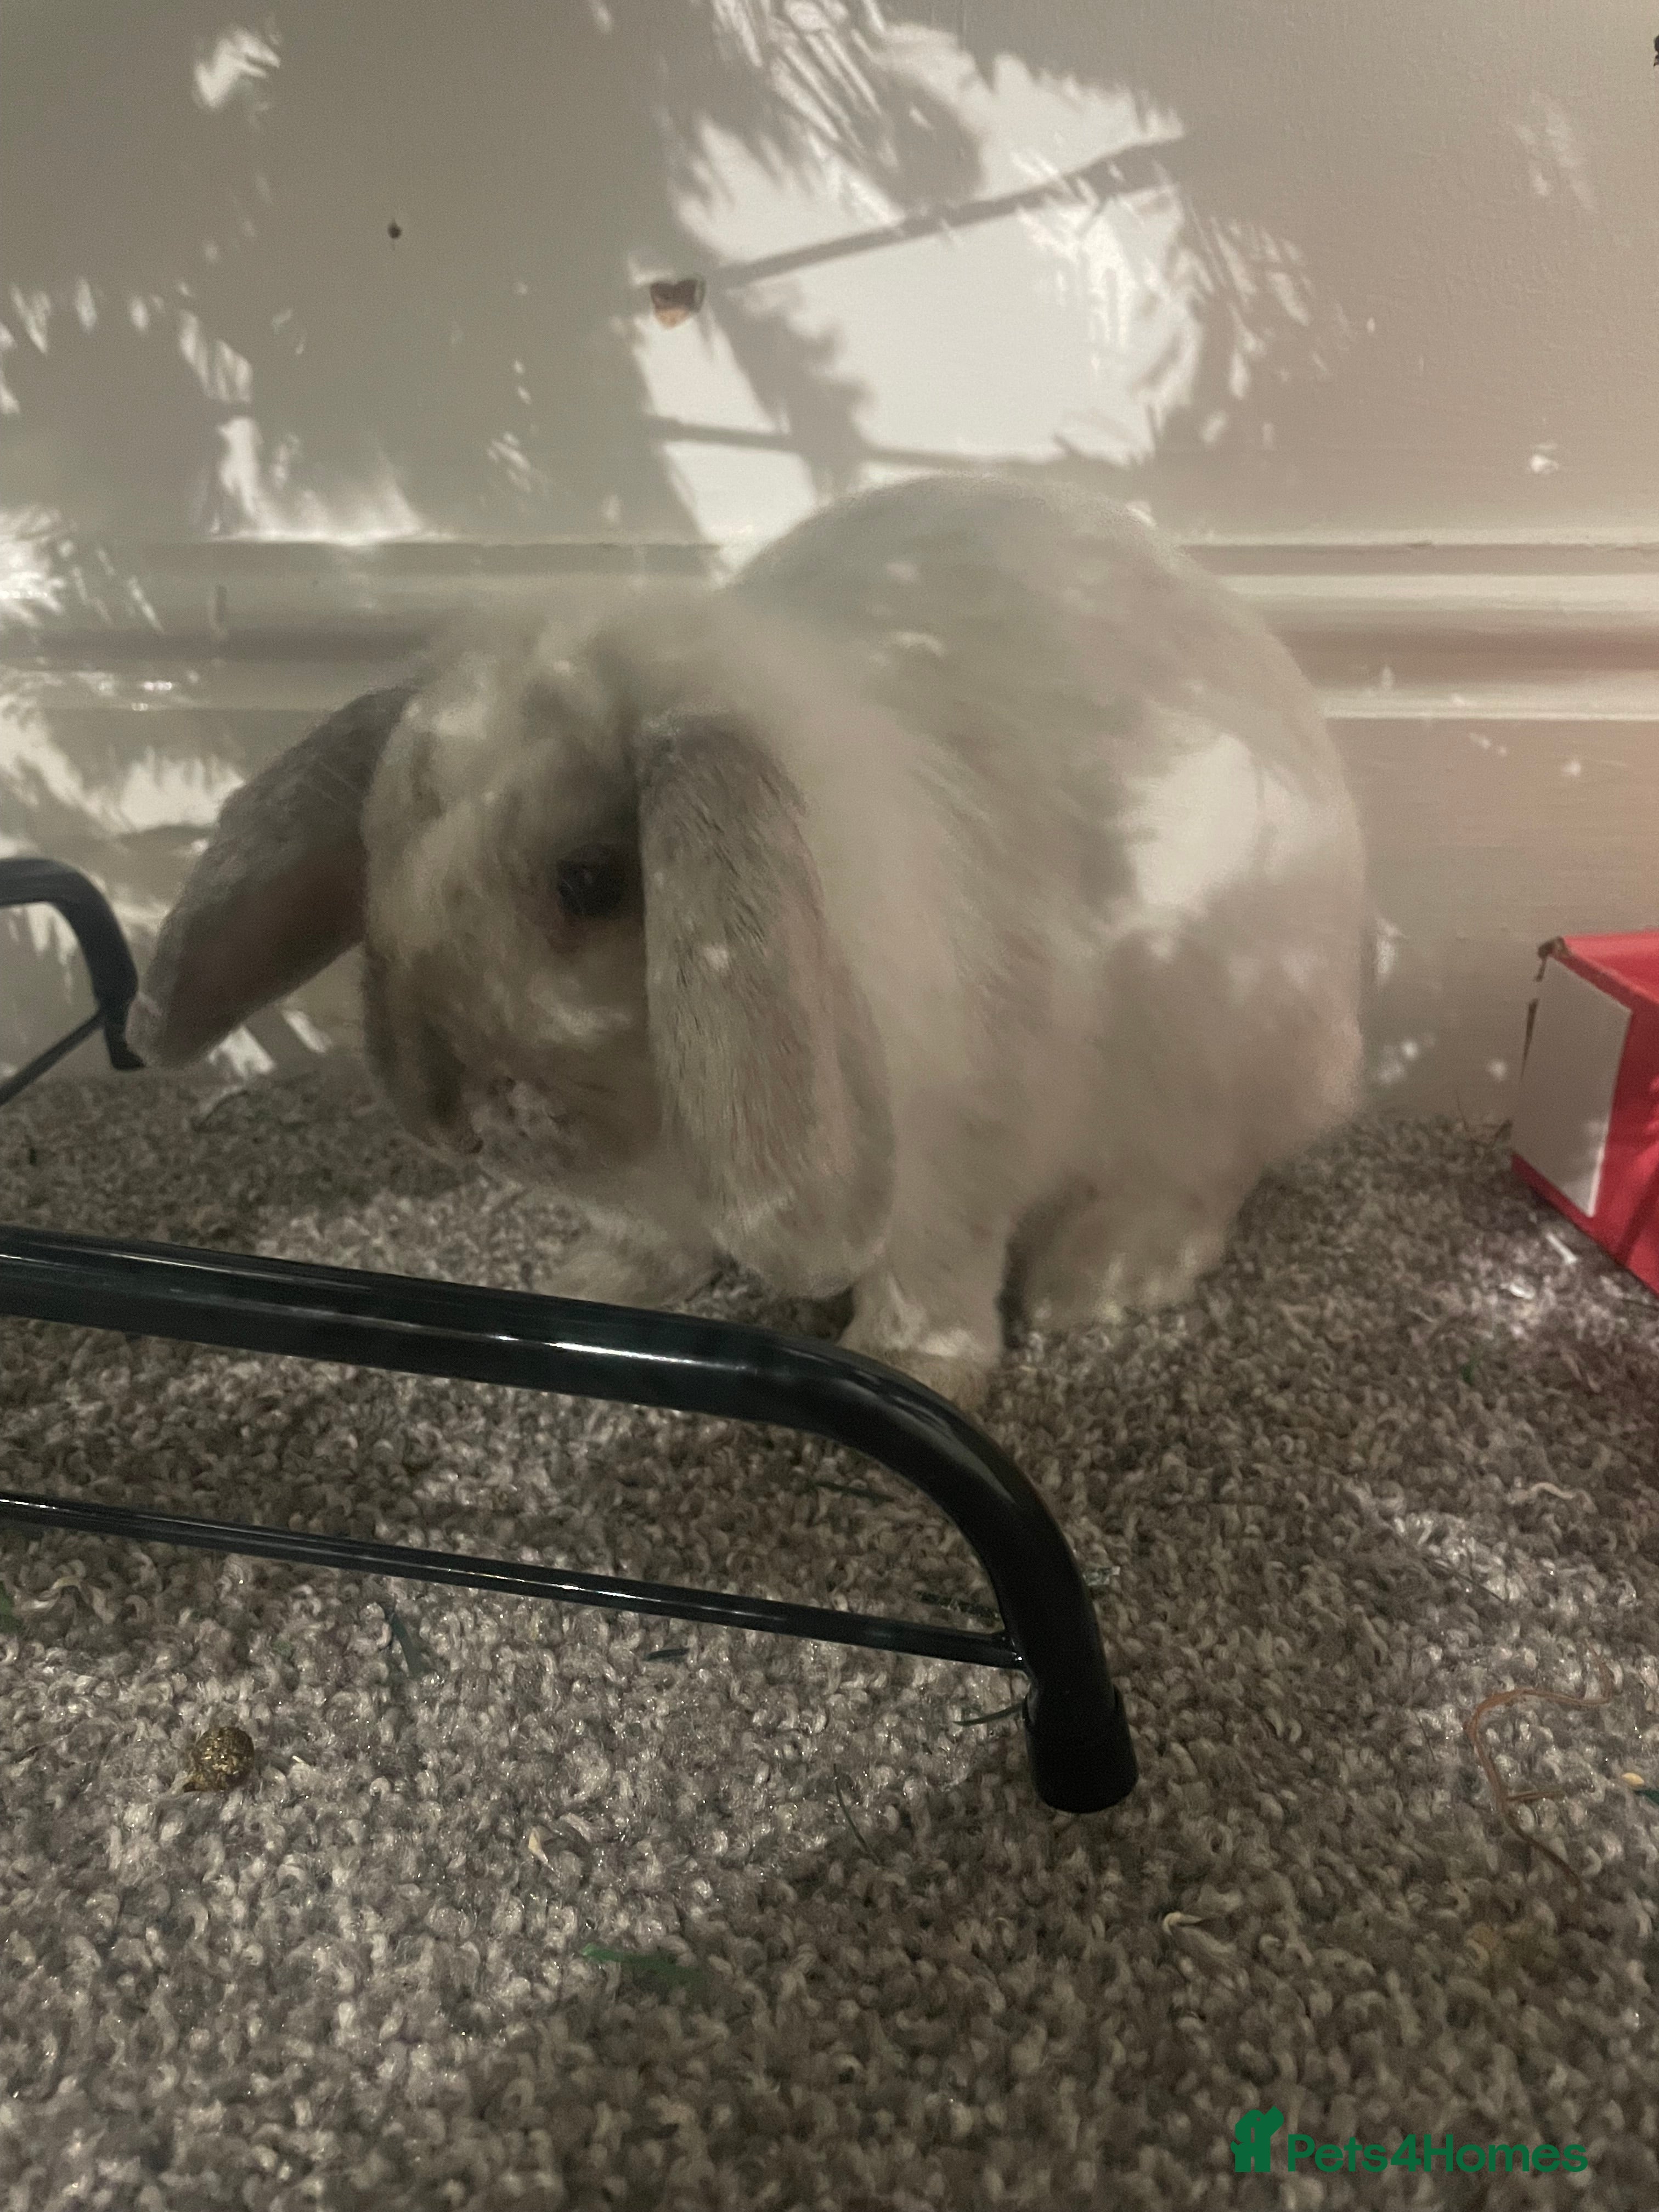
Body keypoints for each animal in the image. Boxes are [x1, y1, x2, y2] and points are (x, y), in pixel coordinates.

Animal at [127, 471, 1368, 1410]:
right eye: (375, 850)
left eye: (591, 881)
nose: (439, 1110)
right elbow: (643, 1240)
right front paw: (593, 1287)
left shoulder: (962, 1135)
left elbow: (934, 1268)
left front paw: (913, 1371)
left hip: (1218, 1048)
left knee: (1205, 1176)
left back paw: (1097, 1279)